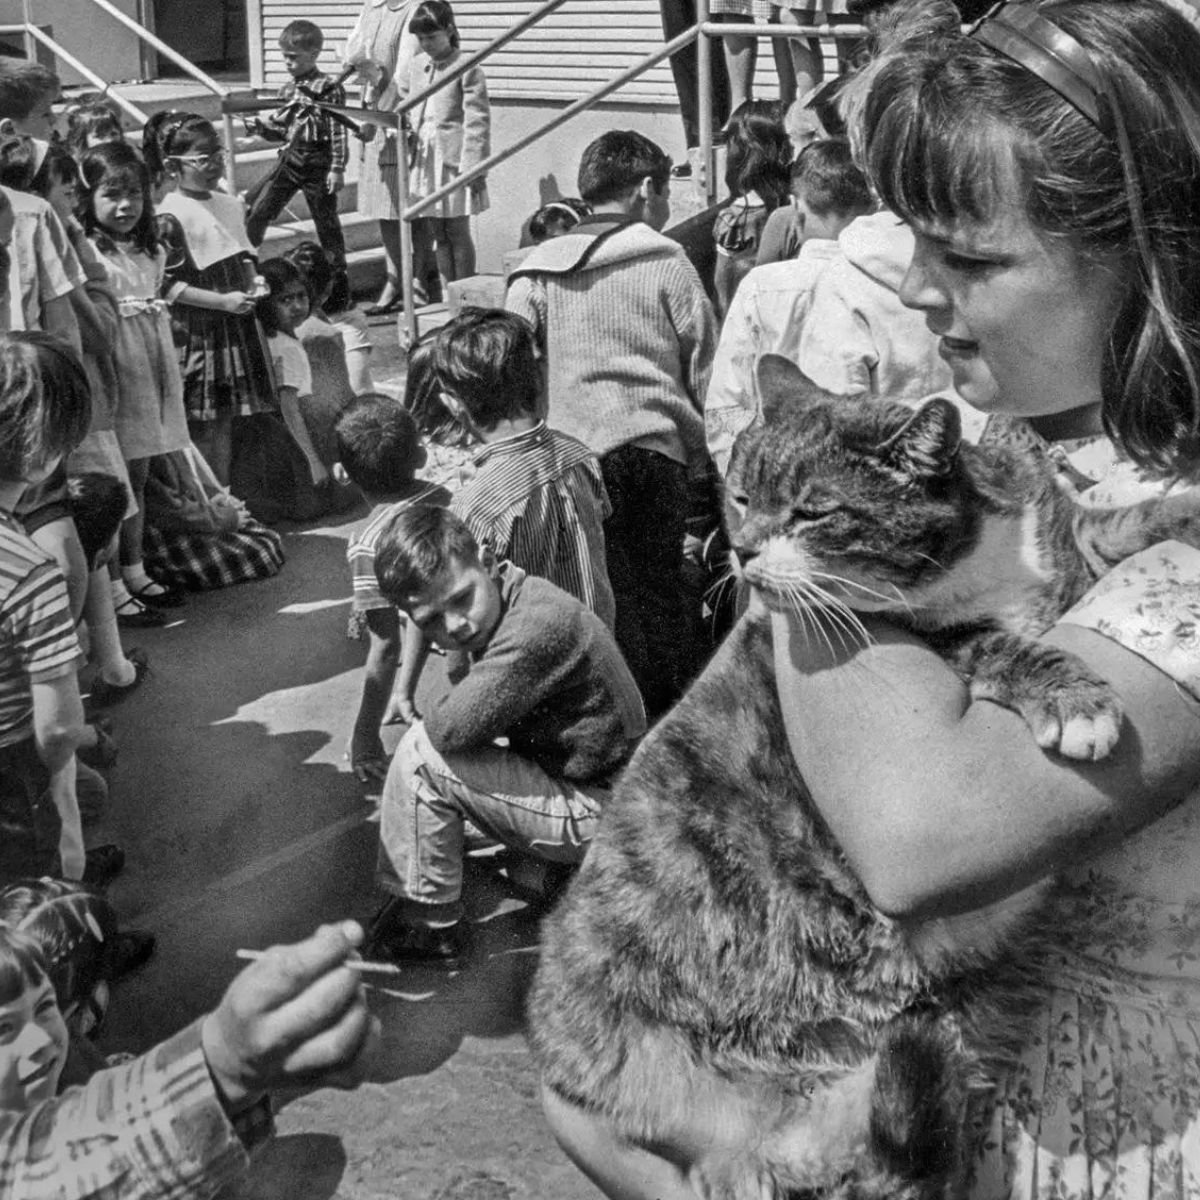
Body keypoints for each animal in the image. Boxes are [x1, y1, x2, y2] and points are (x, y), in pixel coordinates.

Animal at [532, 355, 1200, 1200]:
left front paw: (1183, 510)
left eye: (813, 511)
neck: (977, 558)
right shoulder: (938, 643)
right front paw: (1074, 699)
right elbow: (993, 644)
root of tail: (759, 1142)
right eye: (741, 496)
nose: (742, 552)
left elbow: (1116, 521)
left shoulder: (1056, 531)